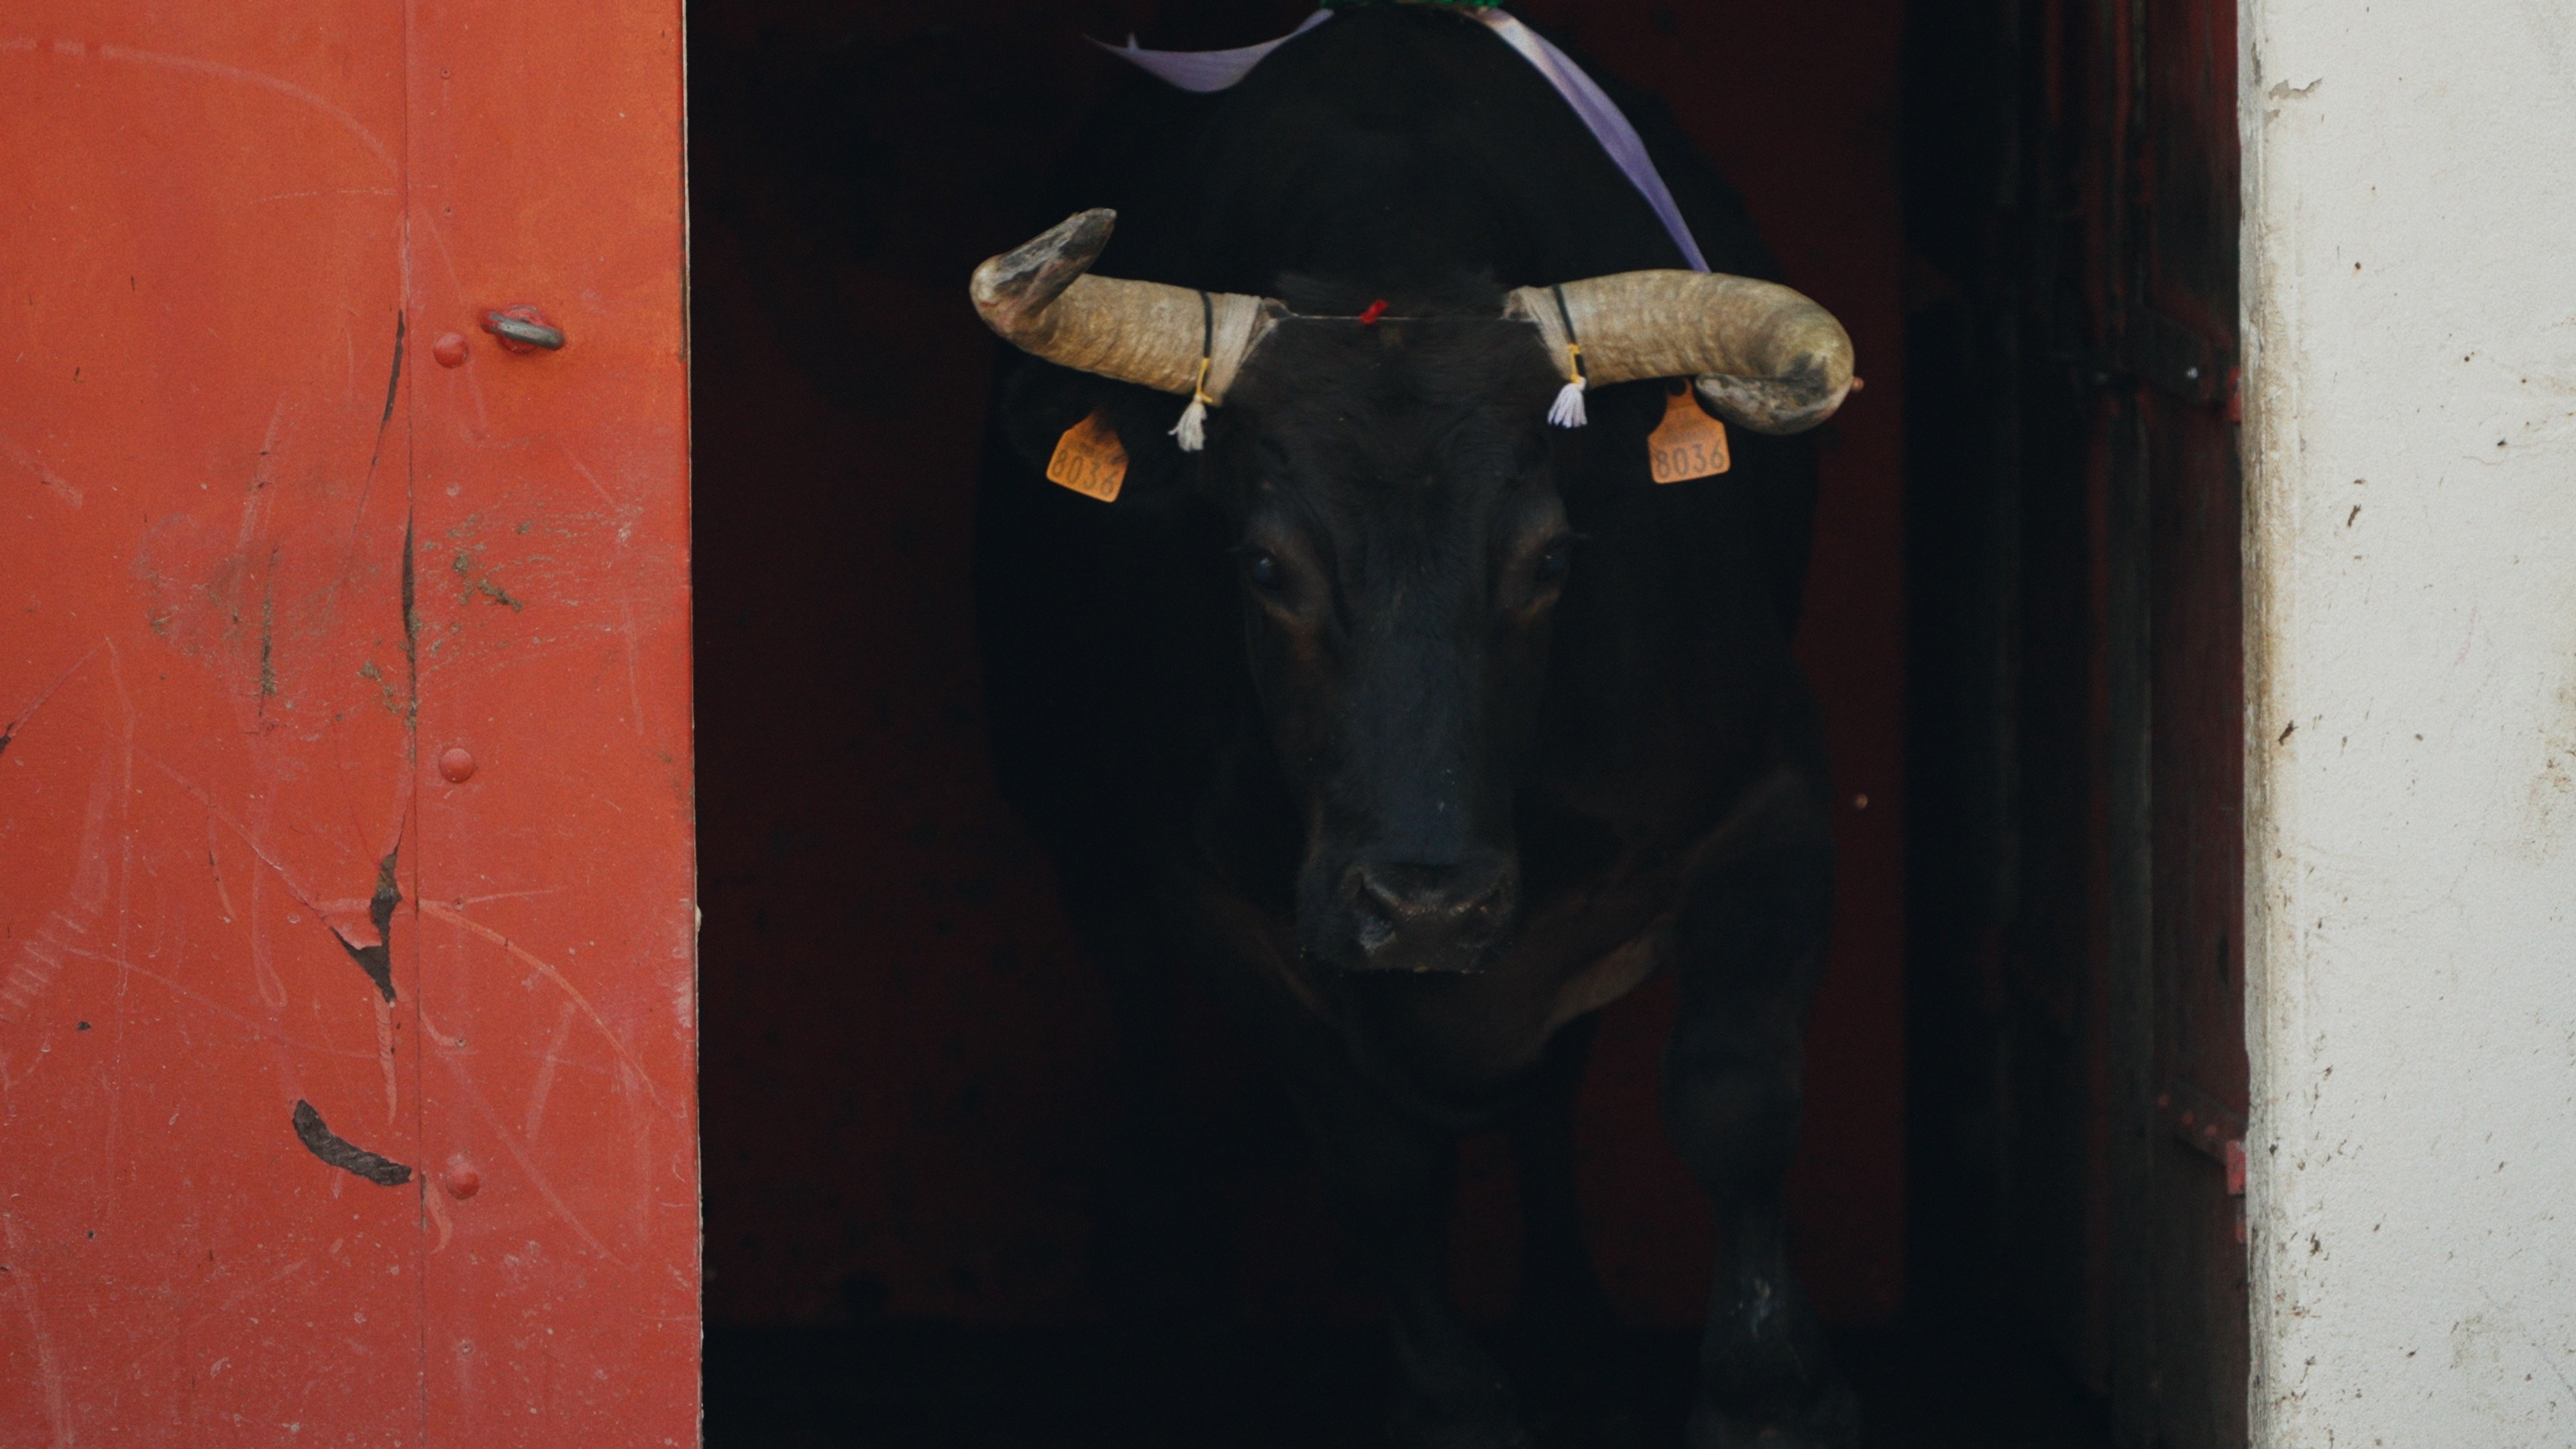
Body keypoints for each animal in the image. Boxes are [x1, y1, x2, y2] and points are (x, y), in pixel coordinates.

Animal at [968, 5, 1854, 1433]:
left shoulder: (1771, 799)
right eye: (1263, 567)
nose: (1426, 903)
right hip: (1070, 810)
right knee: (1138, 1004)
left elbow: (1736, 1096)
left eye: (1552, 558)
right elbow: (1376, 1163)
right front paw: (1453, 1399)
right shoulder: (1217, 906)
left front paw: (1771, 1385)